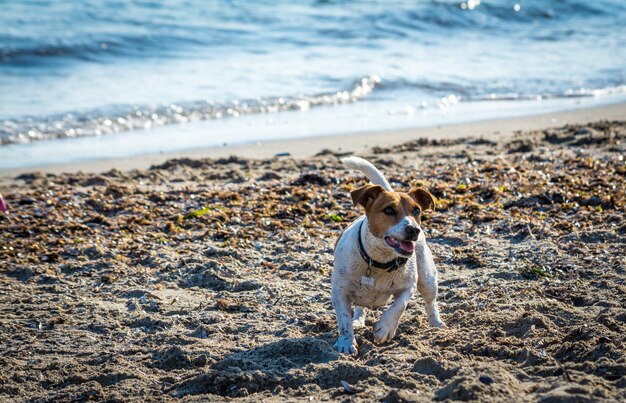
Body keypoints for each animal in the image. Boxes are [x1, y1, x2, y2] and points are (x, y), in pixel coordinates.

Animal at [332, 156, 444, 356]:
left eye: (416, 210)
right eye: (389, 210)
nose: (414, 230)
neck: (379, 261)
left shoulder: (409, 286)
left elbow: (399, 306)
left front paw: (385, 328)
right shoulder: (339, 292)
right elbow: (344, 320)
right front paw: (346, 342)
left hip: (428, 279)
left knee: (431, 302)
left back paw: (436, 323)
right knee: (359, 307)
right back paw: (358, 320)